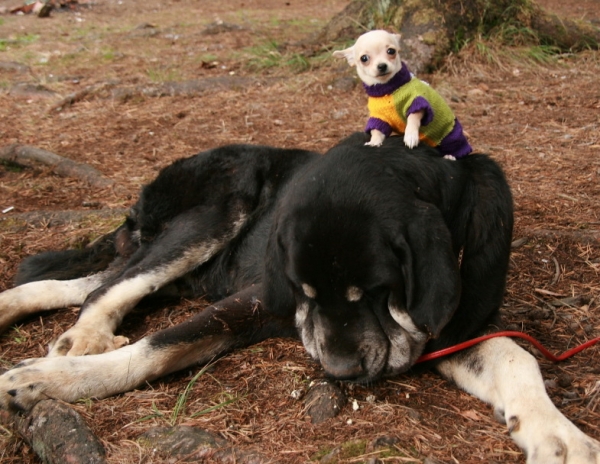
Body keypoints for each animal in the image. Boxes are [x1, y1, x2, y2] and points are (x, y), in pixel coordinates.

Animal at [0, 132, 596, 462]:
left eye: (377, 291)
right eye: (305, 289)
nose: (339, 371)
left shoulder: (451, 329)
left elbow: (516, 356)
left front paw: (557, 435)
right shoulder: (258, 299)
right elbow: (158, 347)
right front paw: (46, 382)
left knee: (91, 281)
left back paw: (15, 306)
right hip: (215, 212)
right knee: (109, 286)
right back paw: (83, 339)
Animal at [336, 30, 472, 160]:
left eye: (391, 51)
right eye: (364, 58)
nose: (382, 65)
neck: (387, 89)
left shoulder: (417, 103)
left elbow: (413, 118)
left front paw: (410, 135)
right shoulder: (380, 118)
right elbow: (376, 131)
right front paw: (374, 142)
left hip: (451, 135)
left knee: (456, 146)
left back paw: (451, 155)